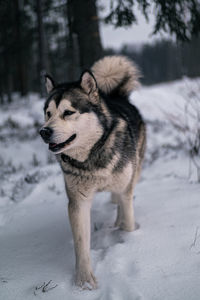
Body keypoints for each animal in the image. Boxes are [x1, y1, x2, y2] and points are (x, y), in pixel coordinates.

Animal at [39, 55, 145, 288]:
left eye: (68, 112)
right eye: (48, 114)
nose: (44, 131)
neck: (93, 155)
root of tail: (117, 95)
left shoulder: (126, 185)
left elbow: (128, 217)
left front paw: (128, 237)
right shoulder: (78, 202)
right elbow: (81, 243)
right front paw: (84, 281)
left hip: (134, 171)